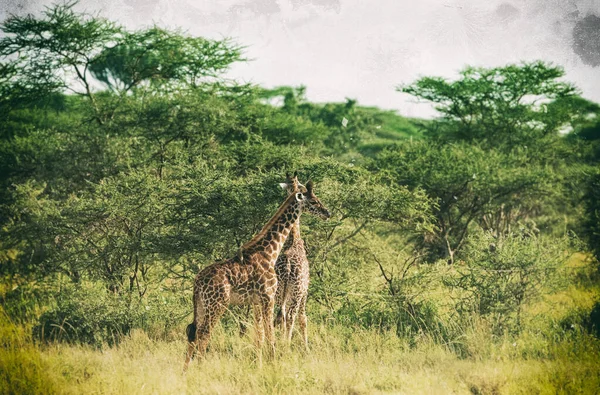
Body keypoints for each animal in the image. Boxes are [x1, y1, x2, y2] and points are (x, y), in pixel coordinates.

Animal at [184, 179, 330, 372]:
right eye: (313, 201)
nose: (327, 213)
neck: (269, 252)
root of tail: (197, 282)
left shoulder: (256, 302)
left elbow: (259, 335)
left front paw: (260, 364)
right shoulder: (268, 297)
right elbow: (270, 334)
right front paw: (274, 364)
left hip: (201, 304)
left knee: (192, 331)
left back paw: (185, 371)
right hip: (217, 304)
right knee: (204, 333)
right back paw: (201, 368)